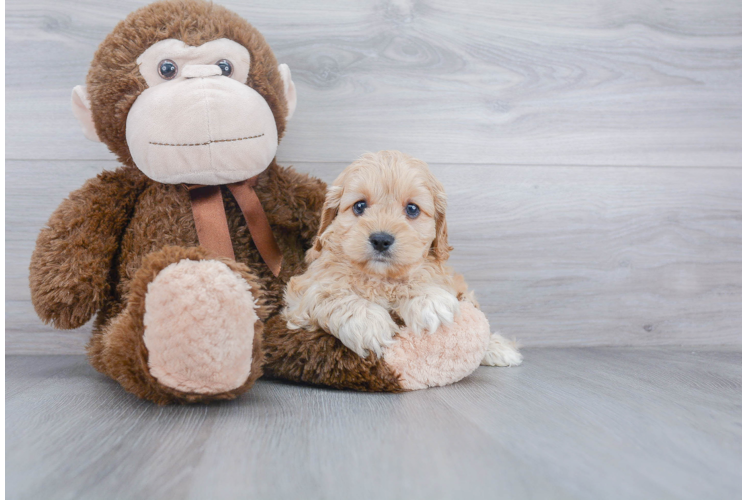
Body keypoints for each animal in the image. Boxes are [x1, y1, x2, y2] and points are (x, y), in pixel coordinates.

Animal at [284, 150, 524, 366]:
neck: (380, 277)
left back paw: (498, 348)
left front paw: (428, 300)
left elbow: (420, 278)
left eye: (412, 209)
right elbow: (328, 294)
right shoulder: (300, 292)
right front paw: (368, 322)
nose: (381, 240)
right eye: (359, 206)